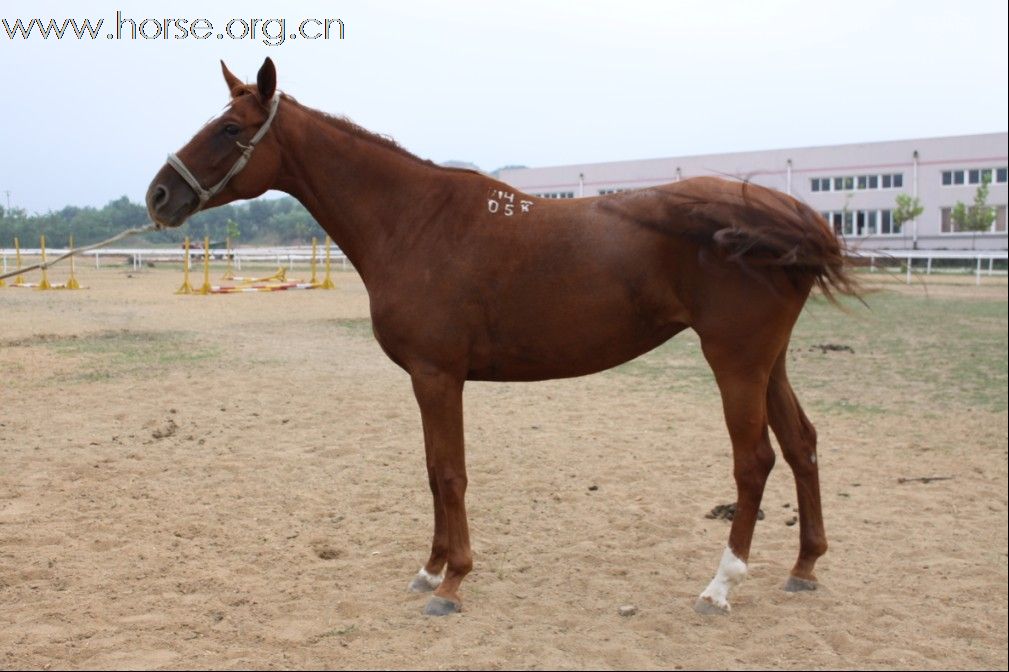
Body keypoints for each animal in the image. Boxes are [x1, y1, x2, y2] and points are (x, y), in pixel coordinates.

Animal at [146, 60, 855, 613]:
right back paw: (804, 568)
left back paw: (721, 586)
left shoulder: (437, 376)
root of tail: (790, 213)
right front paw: (430, 569)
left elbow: (448, 472)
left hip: (734, 361)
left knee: (754, 461)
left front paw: (451, 582)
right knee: (802, 444)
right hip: (769, 362)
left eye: (230, 129)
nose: (158, 196)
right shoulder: (429, 379)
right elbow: (433, 471)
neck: (414, 221)